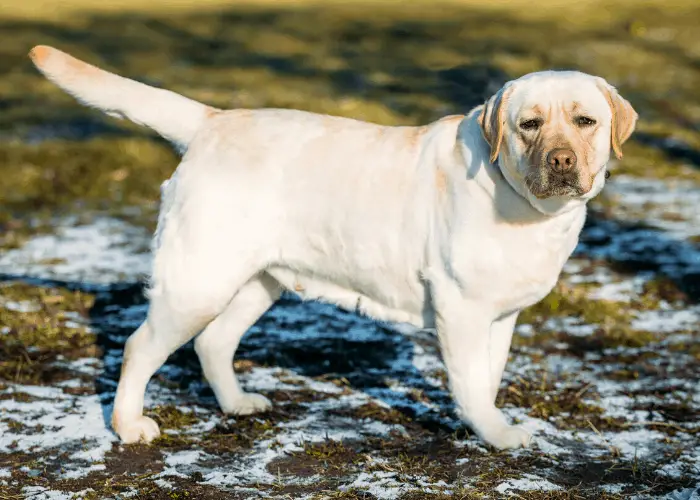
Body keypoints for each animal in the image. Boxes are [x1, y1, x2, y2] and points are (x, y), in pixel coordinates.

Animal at [30, 46, 636, 450]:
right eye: (529, 124)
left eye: (585, 121)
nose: (561, 160)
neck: (521, 203)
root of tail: (214, 120)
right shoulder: (461, 309)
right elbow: (470, 383)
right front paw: (496, 433)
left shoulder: (500, 315)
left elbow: (486, 378)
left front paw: (483, 426)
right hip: (197, 281)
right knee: (139, 347)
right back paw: (129, 426)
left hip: (257, 280)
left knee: (212, 343)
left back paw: (237, 404)